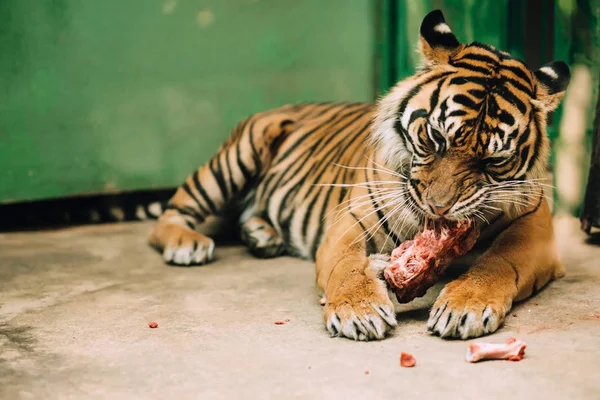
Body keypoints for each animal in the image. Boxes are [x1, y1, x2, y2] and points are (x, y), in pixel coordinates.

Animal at [148, 9, 568, 340]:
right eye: (433, 138)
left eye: (493, 162)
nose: (439, 208)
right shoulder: (348, 223)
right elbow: (346, 266)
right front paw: (359, 311)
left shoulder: (535, 230)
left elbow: (498, 264)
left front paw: (465, 306)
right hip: (236, 156)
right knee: (169, 216)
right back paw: (188, 244)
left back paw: (262, 235)